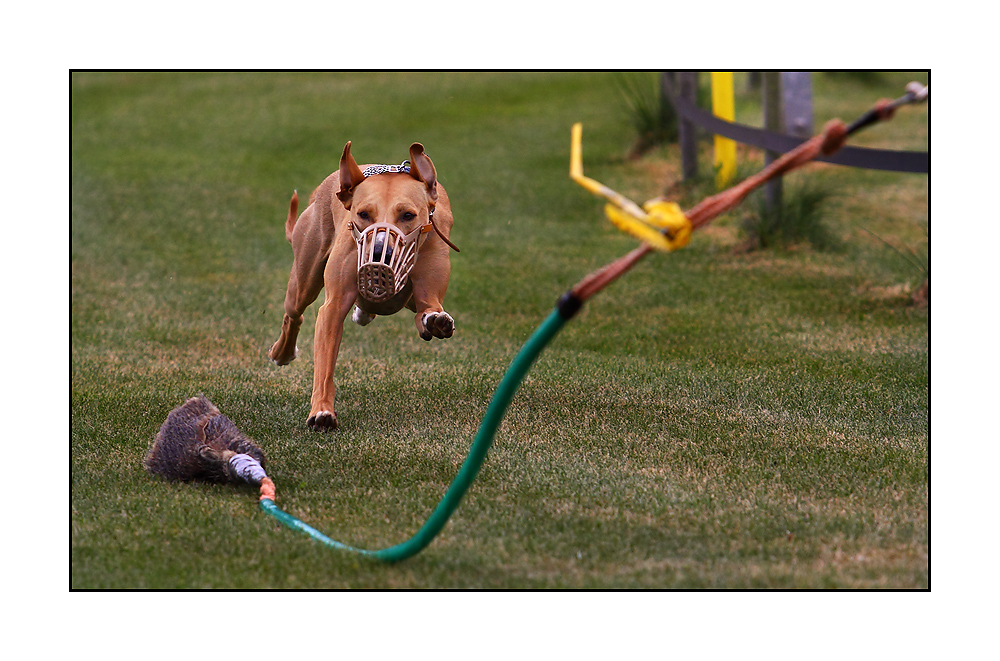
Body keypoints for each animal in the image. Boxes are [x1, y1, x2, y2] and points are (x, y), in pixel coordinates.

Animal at [266, 142, 454, 430]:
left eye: (408, 215)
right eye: (363, 214)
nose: (379, 254)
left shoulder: (429, 292)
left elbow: (429, 309)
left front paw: (435, 321)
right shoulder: (333, 306)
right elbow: (324, 365)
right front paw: (321, 411)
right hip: (304, 276)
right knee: (294, 313)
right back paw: (282, 352)